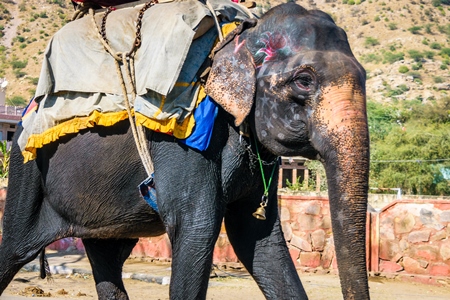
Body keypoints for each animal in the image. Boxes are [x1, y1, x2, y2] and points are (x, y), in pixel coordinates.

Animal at [0, 2, 370, 300]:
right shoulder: (182, 147)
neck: (241, 35)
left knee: (107, 257)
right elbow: (197, 229)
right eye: (304, 81)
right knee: (14, 250)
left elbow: (258, 237)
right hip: (26, 169)